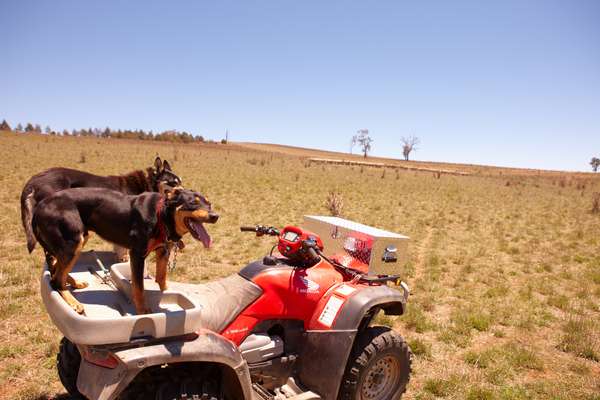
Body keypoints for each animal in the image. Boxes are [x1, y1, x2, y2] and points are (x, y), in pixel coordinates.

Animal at [31, 188, 218, 316]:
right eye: (193, 203)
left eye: (209, 203)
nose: (215, 216)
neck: (160, 216)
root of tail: (39, 207)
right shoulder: (137, 254)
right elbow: (138, 287)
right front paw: (143, 310)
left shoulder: (163, 251)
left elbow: (162, 277)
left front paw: (165, 290)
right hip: (73, 242)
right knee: (55, 279)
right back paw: (73, 302)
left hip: (77, 241)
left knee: (56, 268)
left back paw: (75, 283)